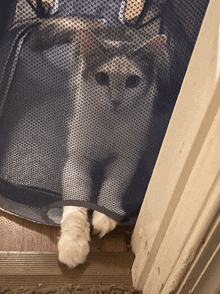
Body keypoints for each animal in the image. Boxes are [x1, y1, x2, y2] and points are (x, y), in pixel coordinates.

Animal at [34, 17, 165, 268]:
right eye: (102, 78)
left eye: (132, 81)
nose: (116, 101)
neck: (110, 124)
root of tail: (107, 23)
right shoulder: (77, 160)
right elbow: (76, 208)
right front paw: (73, 246)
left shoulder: (126, 158)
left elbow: (113, 187)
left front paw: (104, 217)